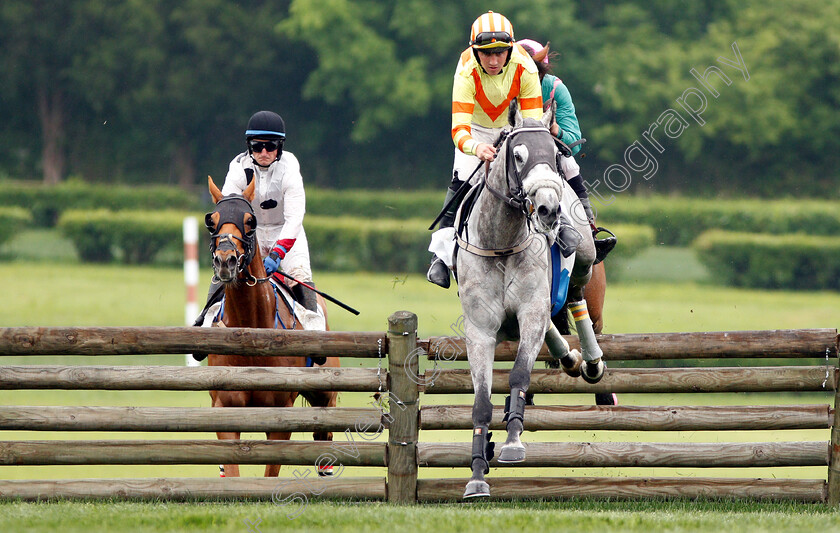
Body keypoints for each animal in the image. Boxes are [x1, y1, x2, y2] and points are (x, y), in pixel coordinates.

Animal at [204, 177, 338, 476]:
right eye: (212, 221)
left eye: (249, 221)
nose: (226, 260)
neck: (251, 326)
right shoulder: (226, 408)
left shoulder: (279, 414)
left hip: (325, 393)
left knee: (324, 434)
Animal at [456, 102, 608, 496]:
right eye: (518, 155)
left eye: (555, 155)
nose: (548, 210)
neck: (500, 242)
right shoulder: (479, 330)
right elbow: (480, 402)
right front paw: (476, 476)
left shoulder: (531, 311)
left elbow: (520, 374)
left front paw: (512, 442)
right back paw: (568, 356)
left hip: (584, 255)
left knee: (575, 294)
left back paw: (590, 360)